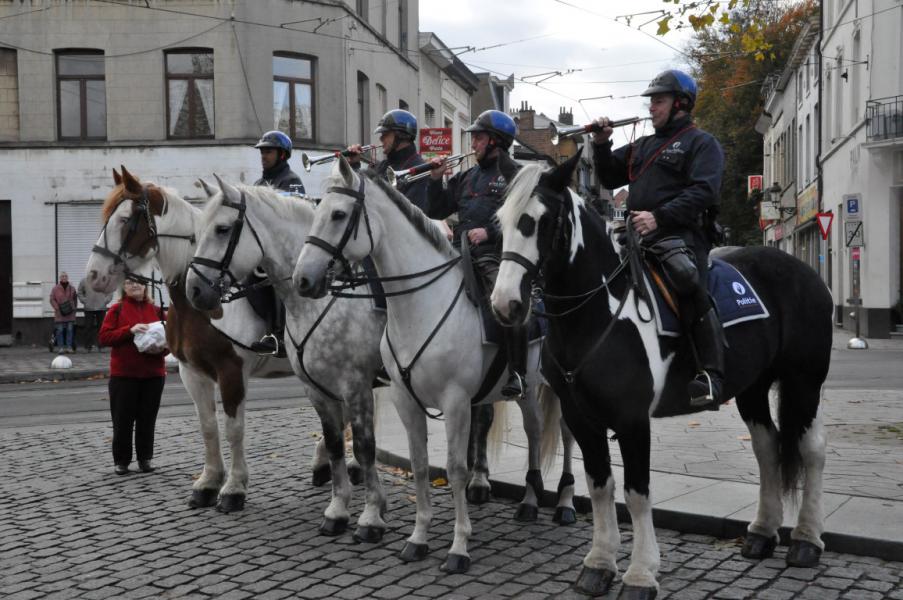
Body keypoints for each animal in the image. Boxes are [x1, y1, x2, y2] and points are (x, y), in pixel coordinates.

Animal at [83, 169, 344, 516]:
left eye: (125, 219)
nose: (92, 279)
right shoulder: (191, 372)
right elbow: (207, 426)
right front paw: (207, 484)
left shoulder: (231, 371)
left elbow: (234, 429)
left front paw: (233, 488)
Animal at [185, 177, 390, 540]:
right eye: (196, 232)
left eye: (222, 229)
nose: (193, 290)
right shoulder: (316, 388)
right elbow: (334, 442)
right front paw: (338, 510)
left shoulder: (355, 386)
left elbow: (364, 445)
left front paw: (370, 515)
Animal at [494, 156, 832, 600]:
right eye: (501, 220)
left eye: (541, 220)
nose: (506, 305)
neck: (597, 314)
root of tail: (805, 272)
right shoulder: (582, 418)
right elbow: (600, 486)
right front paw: (599, 564)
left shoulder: (633, 421)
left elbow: (637, 494)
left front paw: (640, 574)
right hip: (753, 388)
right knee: (767, 448)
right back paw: (762, 532)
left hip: (803, 382)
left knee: (811, 451)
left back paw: (807, 541)